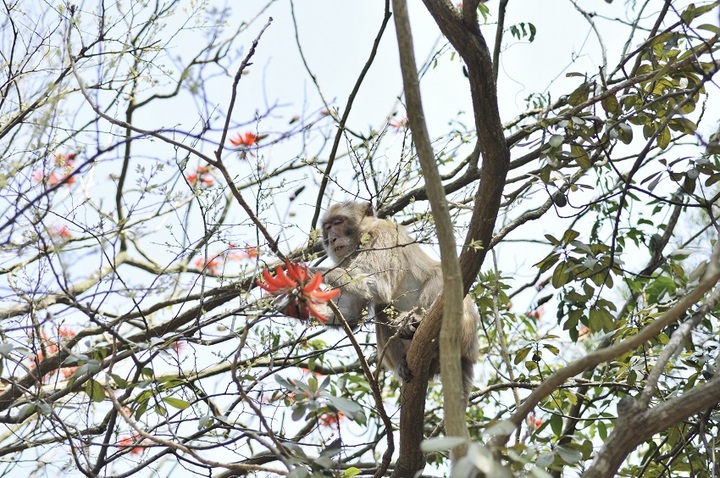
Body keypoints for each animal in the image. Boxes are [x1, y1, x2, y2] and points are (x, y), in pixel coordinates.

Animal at [320, 200, 478, 394]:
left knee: (439, 276)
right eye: (327, 227)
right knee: (382, 306)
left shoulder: (383, 236)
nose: (332, 238)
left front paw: (312, 272)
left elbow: (378, 284)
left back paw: (418, 324)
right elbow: (350, 315)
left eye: (338, 222)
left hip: (464, 333)